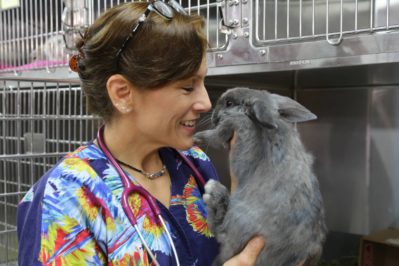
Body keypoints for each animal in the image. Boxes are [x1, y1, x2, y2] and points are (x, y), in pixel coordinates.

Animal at [194, 88, 328, 266]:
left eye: (229, 103)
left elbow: (214, 136)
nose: (214, 115)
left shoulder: (229, 126)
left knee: (220, 230)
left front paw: (197, 136)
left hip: (240, 220)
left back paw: (214, 192)